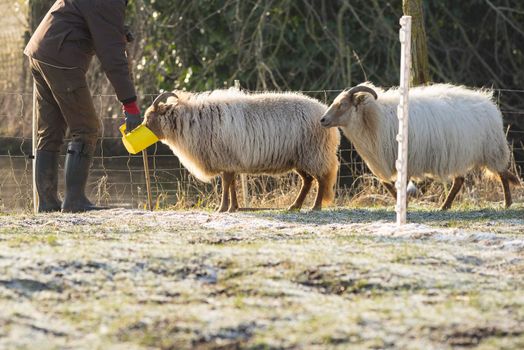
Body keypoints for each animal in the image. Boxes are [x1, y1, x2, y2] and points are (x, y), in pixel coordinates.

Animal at [143, 89, 340, 212]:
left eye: (149, 116)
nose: (138, 128)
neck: (191, 120)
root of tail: (324, 112)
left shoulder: (226, 158)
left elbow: (226, 184)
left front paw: (222, 208)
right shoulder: (230, 162)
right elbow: (232, 184)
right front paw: (233, 207)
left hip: (314, 154)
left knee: (321, 180)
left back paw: (315, 206)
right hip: (299, 158)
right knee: (308, 181)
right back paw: (295, 206)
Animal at [320, 83, 520, 209]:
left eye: (343, 104)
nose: (322, 120)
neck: (374, 118)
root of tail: (489, 103)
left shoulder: (406, 158)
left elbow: (400, 183)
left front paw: (404, 203)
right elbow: (386, 183)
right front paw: (401, 202)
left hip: (491, 149)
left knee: (502, 174)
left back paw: (507, 203)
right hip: (460, 153)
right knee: (459, 181)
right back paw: (444, 206)